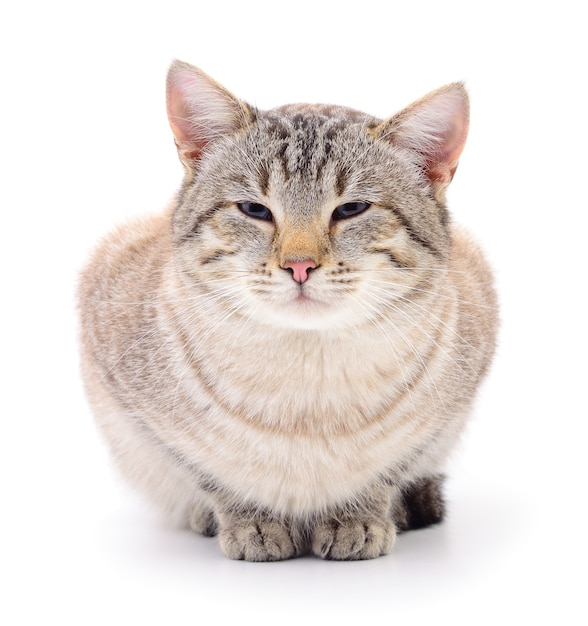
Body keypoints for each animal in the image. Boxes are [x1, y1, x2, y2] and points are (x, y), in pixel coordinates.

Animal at [78, 59, 498, 560]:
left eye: (352, 209)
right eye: (254, 210)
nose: (299, 265)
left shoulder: (451, 399)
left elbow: (387, 470)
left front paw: (357, 519)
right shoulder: (130, 396)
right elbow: (212, 473)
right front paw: (252, 523)